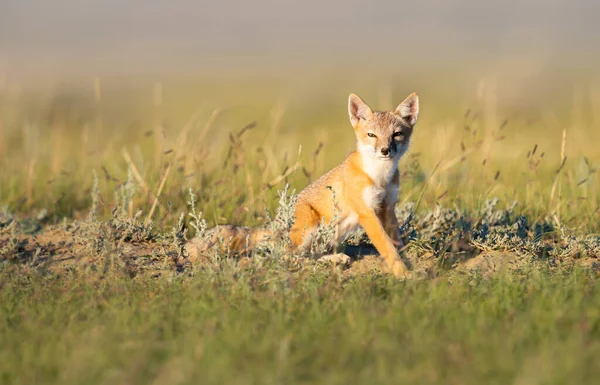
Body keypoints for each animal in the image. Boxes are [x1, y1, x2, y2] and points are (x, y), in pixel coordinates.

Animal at [185, 92, 420, 280]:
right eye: (371, 135)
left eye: (397, 134)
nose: (385, 150)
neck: (380, 176)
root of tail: (277, 224)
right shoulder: (367, 213)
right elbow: (387, 248)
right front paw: (404, 274)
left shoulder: (387, 208)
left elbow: (397, 243)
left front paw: (407, 263)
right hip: (310, 224)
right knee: (288, 257)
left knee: (309, 254)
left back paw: (333, 259)